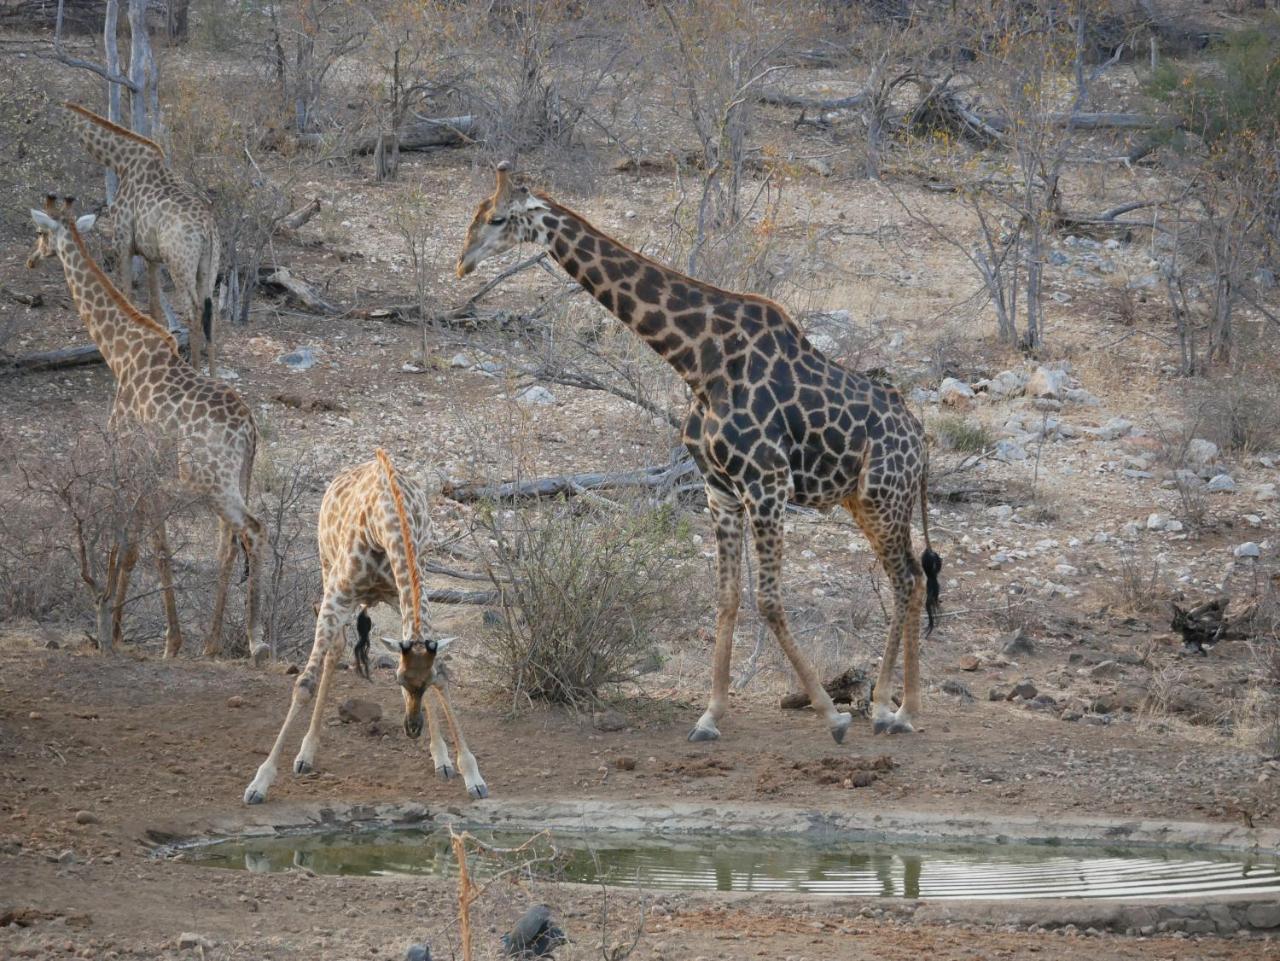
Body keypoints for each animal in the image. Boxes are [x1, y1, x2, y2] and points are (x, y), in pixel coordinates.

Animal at [26, 195, 262, 660]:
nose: (31, 258)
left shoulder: (126, 451)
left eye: (41, 232)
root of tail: (250, 430)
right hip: (235, 478)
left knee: (252, 531)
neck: (118, 351)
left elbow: (140, 546)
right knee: (230, 544)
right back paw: (215, 642)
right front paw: (119, 630)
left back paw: (255, 639)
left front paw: (157, 639)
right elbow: (138, 546)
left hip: (211, 482)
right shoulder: (144, 465)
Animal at [62, 103, 222, 373]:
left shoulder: (123, 242)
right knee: (209, 311)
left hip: (179, 264)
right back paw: (211, 373)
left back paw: (196, 368)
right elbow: (154, 308)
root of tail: (208, 229)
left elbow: (126, 297)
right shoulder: (152, 257)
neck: (121, 162)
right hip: (208, 266)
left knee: (193, 310)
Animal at [245, 450, 488, 803]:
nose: (412, 728)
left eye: (425, 682)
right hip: (327, 570)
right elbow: (304, 684)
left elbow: (441, 669)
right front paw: (260, 781)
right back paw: (306, 754)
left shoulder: (407, 589)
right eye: (398, 680)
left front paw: (470, 773)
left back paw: (440, 758)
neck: (386, 521)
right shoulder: (337, 595)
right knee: (334, 650)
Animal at [460, 161, 942, 742]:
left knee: (908, 579)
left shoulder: (767, 483)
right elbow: (728, 599)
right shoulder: (721, 491)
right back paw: (894, 707)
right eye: (477, 213)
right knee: (911, 578)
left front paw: (831, 715)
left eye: (498, 218)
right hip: (866, 501)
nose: (463, 263)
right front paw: (710, 716)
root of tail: (921, 442)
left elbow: (769, 600)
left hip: (881, 498)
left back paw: (898, 709)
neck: (697, 359)